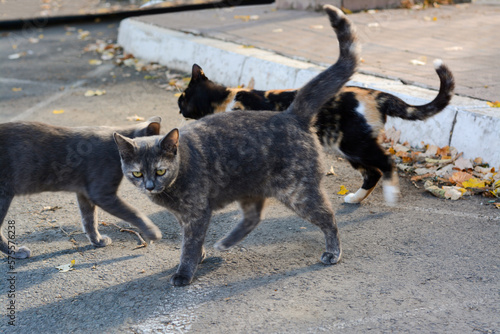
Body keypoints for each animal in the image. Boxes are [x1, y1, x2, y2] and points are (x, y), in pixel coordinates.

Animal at [0, 117, 162, 258]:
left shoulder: (84, 193)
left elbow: (89, 219)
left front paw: (97, 240)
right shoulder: (102, 194)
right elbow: (132, 211)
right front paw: (152, 232)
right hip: (4, 196)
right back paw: (16, 252)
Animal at [115, 4, 358, 288]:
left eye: (160, 170)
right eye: (137, 173)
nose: (150, 186)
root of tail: (291, 114)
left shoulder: (197, 213)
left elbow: (190, 244)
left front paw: (185, 271)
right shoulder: (184, 215)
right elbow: (191, 240)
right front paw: (201, 256)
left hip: (297, 192)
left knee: (328, 217)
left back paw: (333, 252)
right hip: (251, 186)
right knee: (254, 217)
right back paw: (225, 243)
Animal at [178, 60, 456, 206]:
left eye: (182, 96)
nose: (178, 103)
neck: (225, 99)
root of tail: (373, 94)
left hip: (355, 144)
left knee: (387, 162)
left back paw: (390, 195)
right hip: (349, 148)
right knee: (373, 173)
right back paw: (355, 198)